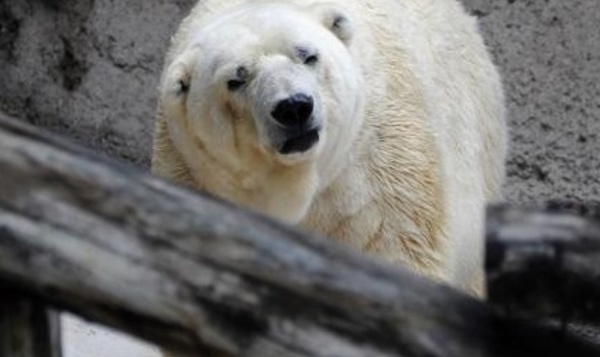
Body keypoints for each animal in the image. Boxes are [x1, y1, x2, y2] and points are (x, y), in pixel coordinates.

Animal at [151, 0, 506, 294]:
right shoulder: (190, 172)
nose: (294, 107)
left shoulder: (377, 168)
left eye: (309, 56)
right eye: (236, 80)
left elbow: (395, 249)